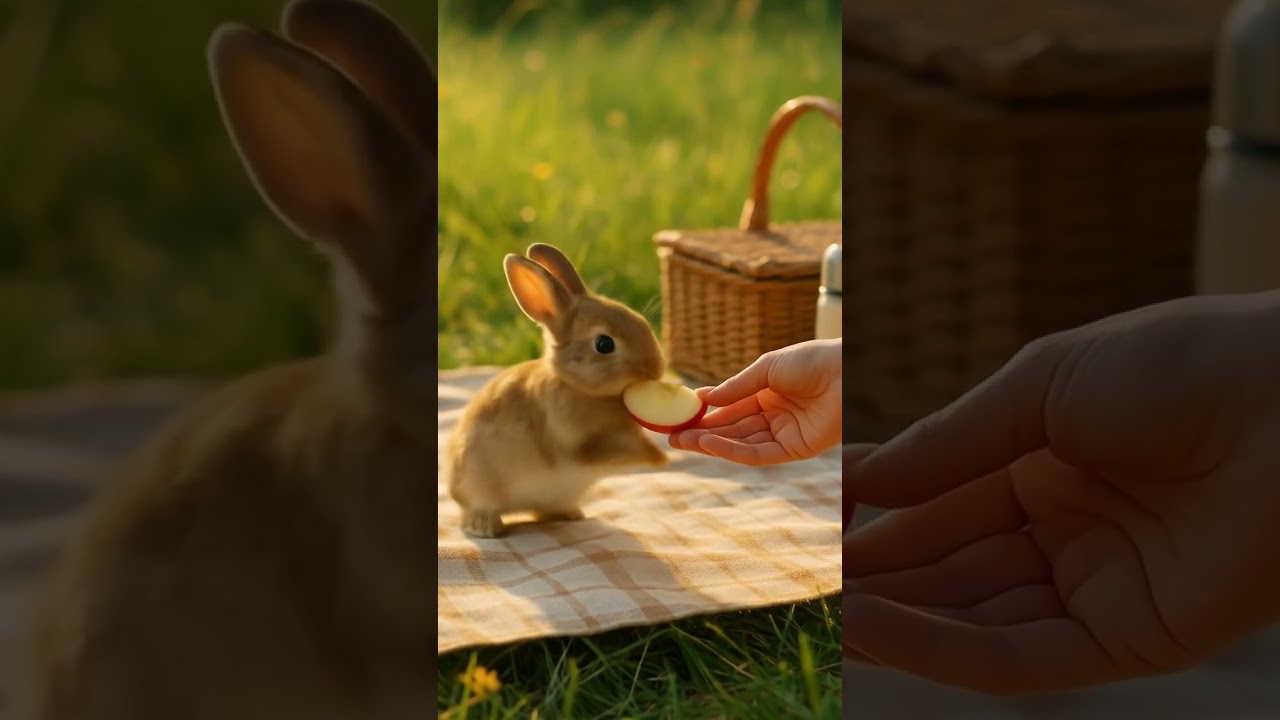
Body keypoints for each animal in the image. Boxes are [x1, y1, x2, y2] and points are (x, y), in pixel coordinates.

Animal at [445, 243, 671, 539]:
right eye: (604, 344)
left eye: (641, 321)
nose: (655, 369)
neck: (575, 385)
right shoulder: (578, 442)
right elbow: (604, 451)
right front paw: (659, 458)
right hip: (478, 486)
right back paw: (485, 528)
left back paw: (570, 514)